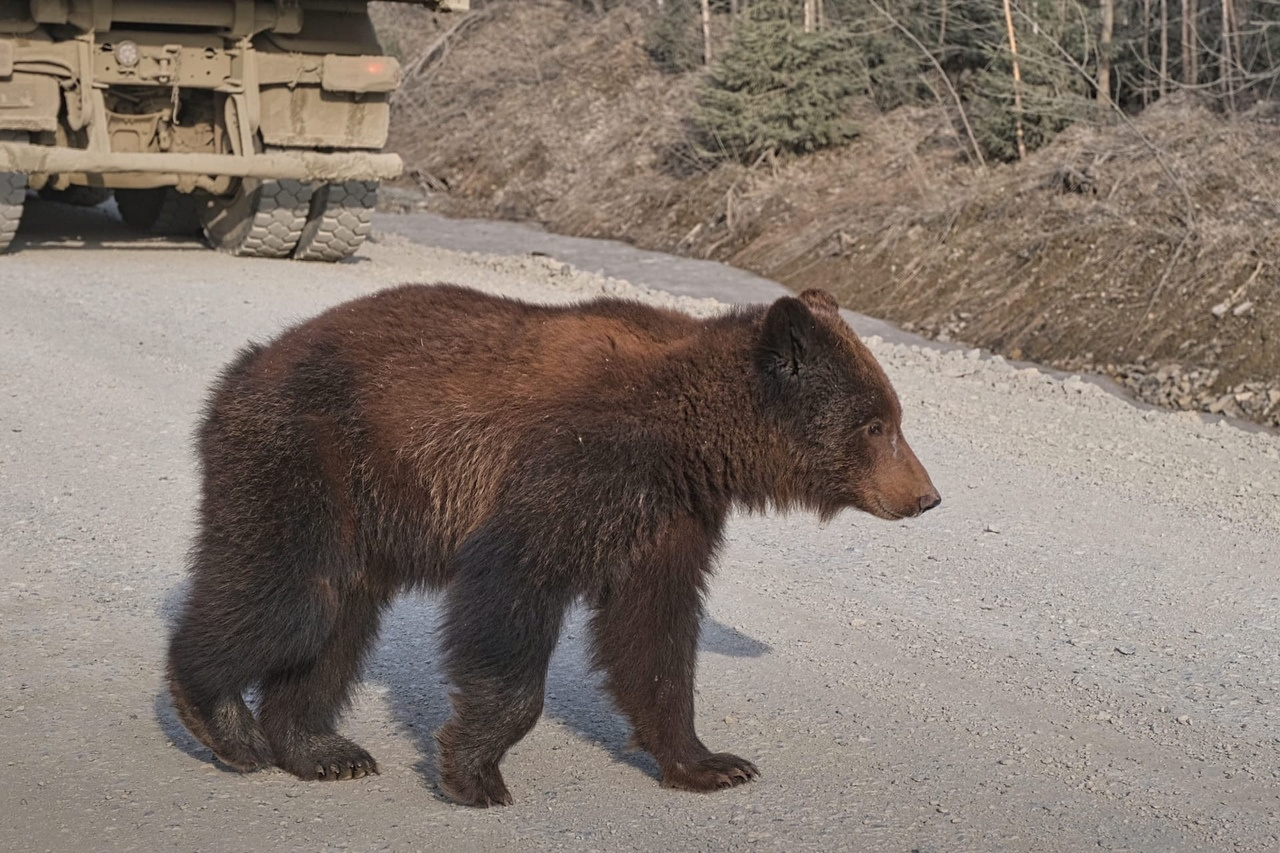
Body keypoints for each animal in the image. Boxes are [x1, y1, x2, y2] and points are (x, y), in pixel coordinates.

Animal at [165, 284, 936, 804]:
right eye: (876, 424)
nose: (926, 495)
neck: (688, 439)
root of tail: (248, 363)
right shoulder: (573, 463)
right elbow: (512, 589)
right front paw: (476, 772)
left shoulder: (669, 514)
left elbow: (654, 631)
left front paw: (710, 762)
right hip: (308, 453)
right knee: (293, 598)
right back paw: (220, 718)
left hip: (361, 504)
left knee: (338, 622)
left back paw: (322, 748)